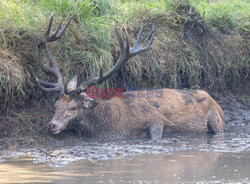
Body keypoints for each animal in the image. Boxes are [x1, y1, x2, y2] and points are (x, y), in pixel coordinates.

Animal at [36, 15, 226, 140]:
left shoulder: (156, 119)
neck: (115, 123)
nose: (52, 125)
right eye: (56, 105)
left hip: (216, 119)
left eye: (73, 108)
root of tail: (217, 103)